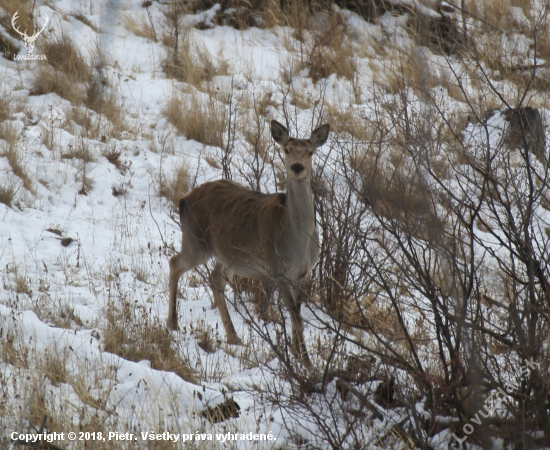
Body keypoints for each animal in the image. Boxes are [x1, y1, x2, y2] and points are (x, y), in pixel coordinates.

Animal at [170, 119, 330, 366]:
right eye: (286, 149)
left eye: (310, 152)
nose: (297, 167)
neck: (298, 242)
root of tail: (183, 199)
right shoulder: (278, 271)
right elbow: (296, 317)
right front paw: (306, 362)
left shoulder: (305, 273)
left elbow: (298, 315)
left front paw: (297, 352)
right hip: (195, 241)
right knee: (175, 263)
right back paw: (173, 323)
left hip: (228, 257)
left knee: (215, 277)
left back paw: (233, 336)